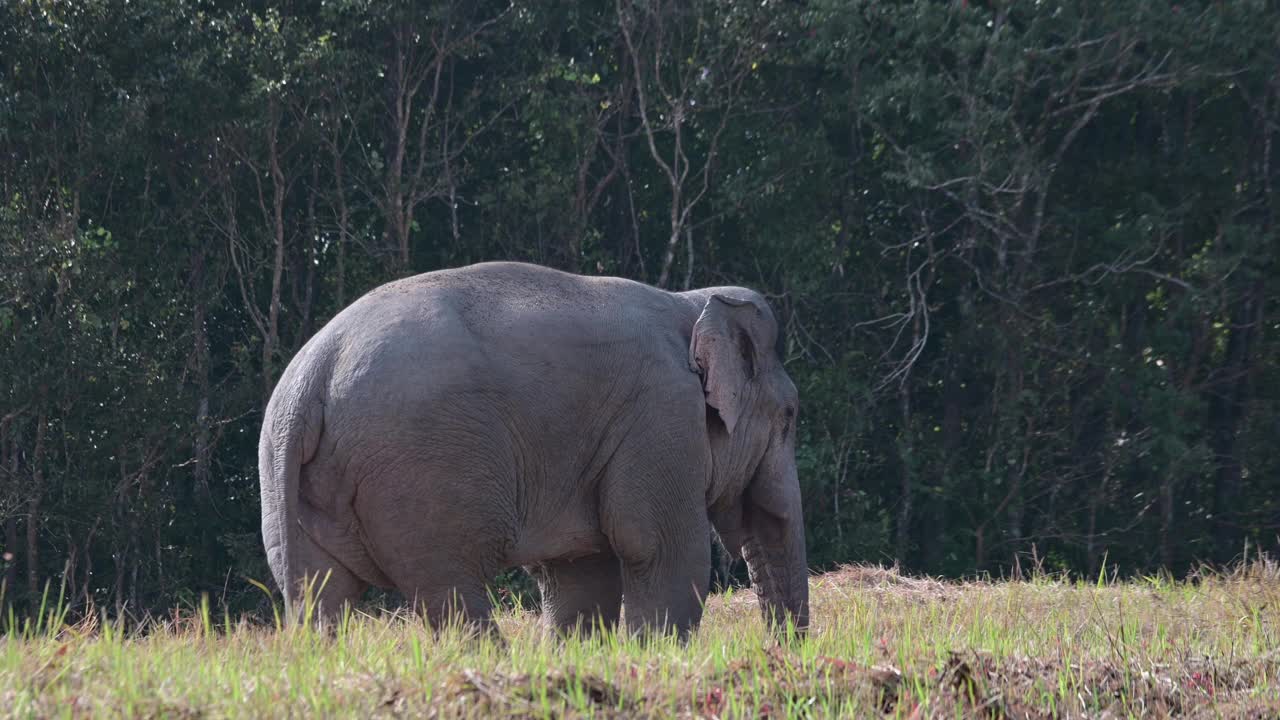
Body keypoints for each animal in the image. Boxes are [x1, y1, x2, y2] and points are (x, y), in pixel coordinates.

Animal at [254, 260, 803, 635]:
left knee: (319, 595)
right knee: (449, 590)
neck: (688, 302)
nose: (777, 652)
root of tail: (313, 375)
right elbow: (663, 551)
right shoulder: (661, 418)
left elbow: (581, 573)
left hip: (287, 477)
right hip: (420, 474)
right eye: (791, 417)